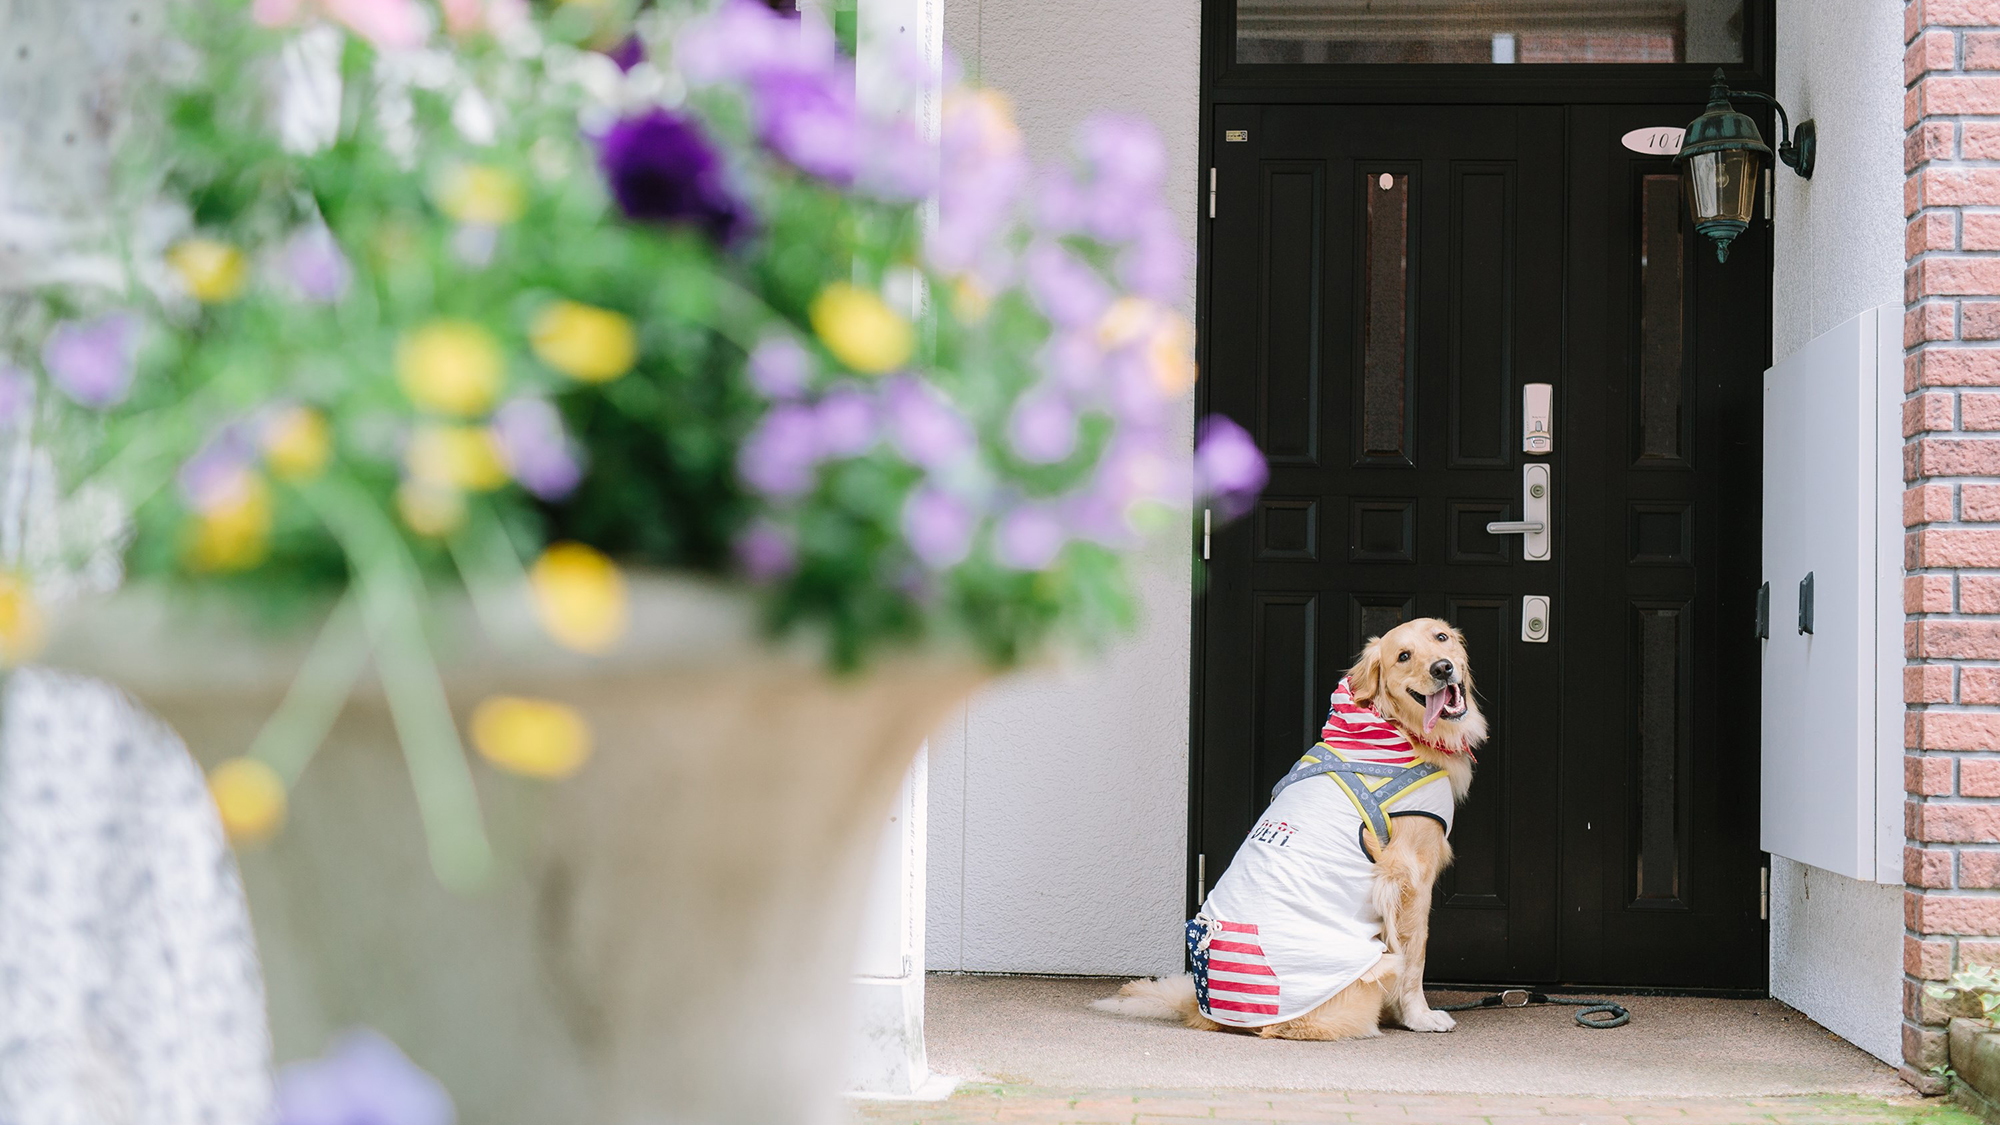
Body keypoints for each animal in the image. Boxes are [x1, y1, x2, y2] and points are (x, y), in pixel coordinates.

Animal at [1096, 616, 1488, 1040]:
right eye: (1403, 656)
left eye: (1441, 638)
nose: (1442, 668)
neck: (1393, 726)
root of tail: (1207, 1008)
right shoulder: (1410, 875)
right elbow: (1414, 954)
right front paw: (1419, 1016)